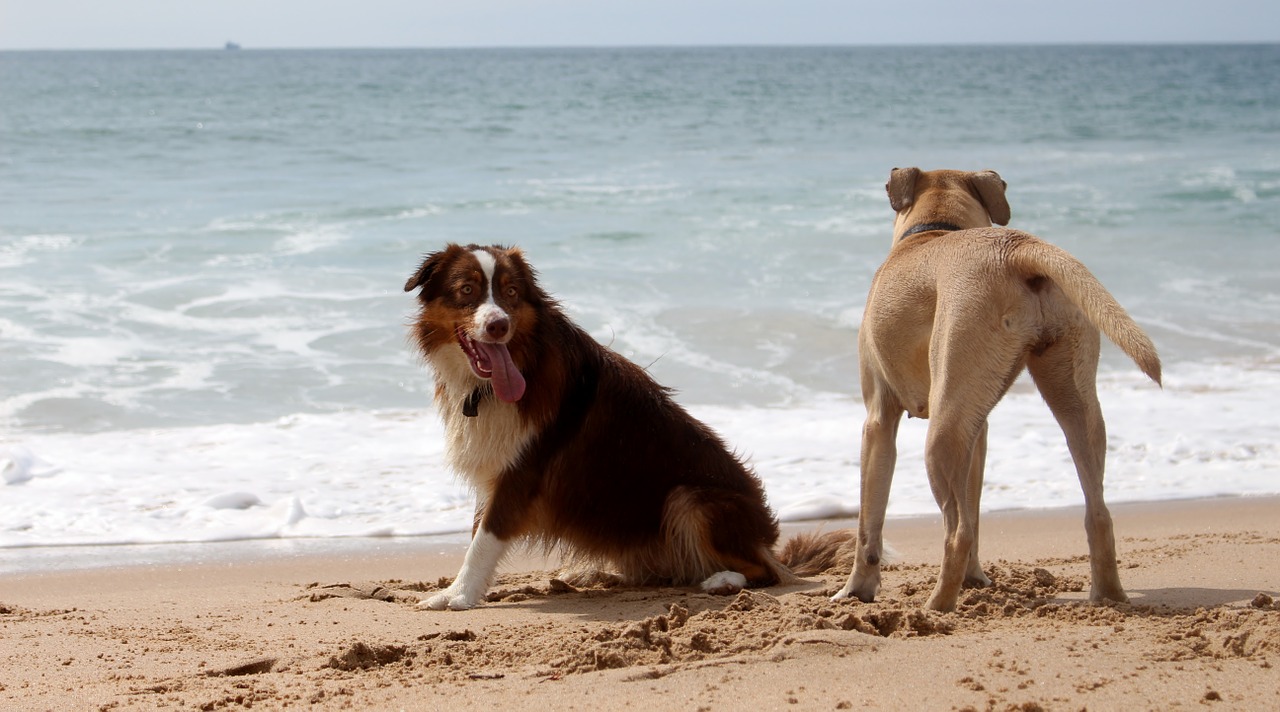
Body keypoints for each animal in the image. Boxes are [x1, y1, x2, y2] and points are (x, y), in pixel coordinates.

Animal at [401, 244, 829, 612]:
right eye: (467, 290)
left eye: (510, 292)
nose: (498, 326)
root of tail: (767, 539)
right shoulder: (496, 464)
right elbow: (477, 531)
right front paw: (459, 591)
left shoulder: (523, 470)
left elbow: (484, 539)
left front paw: (458, 596)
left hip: (691, 499)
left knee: (767, 571)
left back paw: (722, 580)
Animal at [834, 166, 1167, 612]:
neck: (936, 227)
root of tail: (1016, 249)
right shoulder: (979, 433)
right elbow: (974, 509)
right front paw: (975, 579)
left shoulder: (878, 422)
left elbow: (869, 523)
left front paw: (857, 589)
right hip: (1074, 402)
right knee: (1096, 511)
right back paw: (1107, 595)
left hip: (942, 432)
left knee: (956, 532)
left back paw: (936, 607)